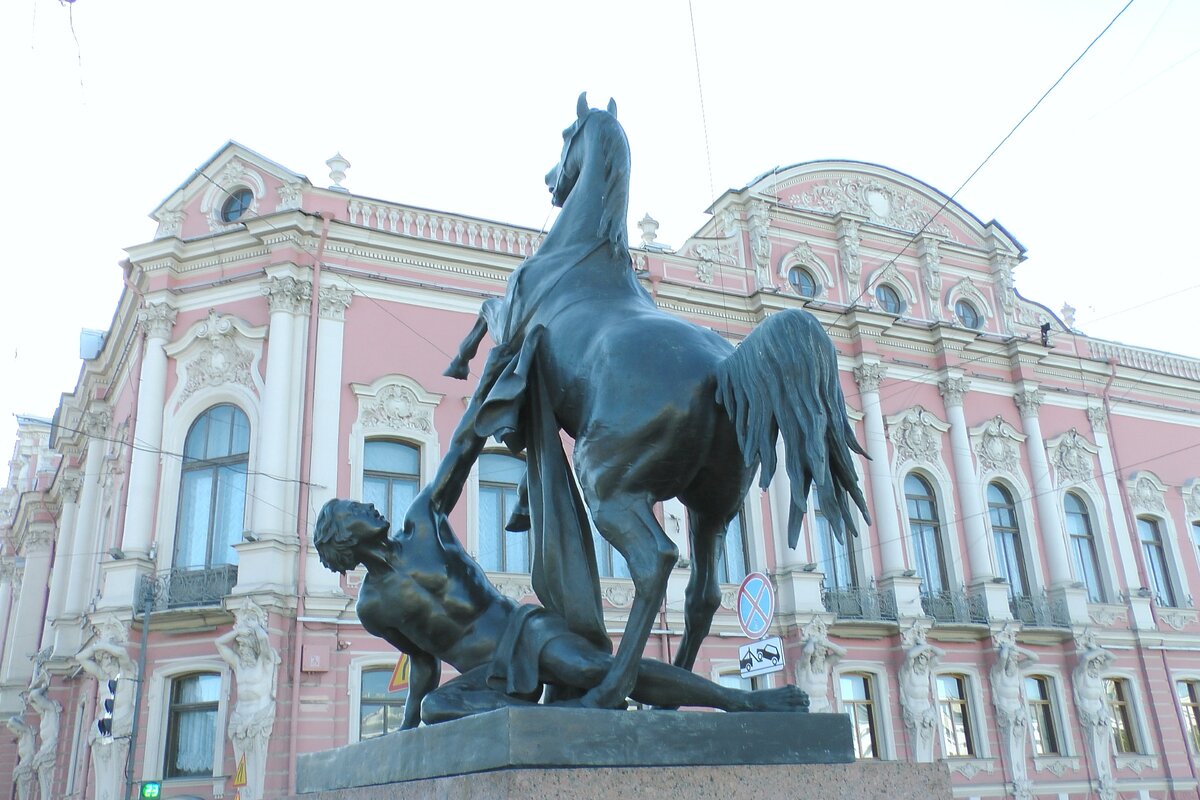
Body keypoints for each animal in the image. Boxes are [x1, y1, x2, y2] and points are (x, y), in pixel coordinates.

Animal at [446, 94, 868, 705]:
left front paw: (459, 370)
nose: (551, 181)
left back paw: (608, 693)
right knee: (702, 596)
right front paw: (522, 500)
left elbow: (483, 318)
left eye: (567, 134)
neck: (584, 249)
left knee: (656, 561)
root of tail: (722, 370)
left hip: (608, 485)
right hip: (712, 507)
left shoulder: (510, 331)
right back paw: (672, 693)